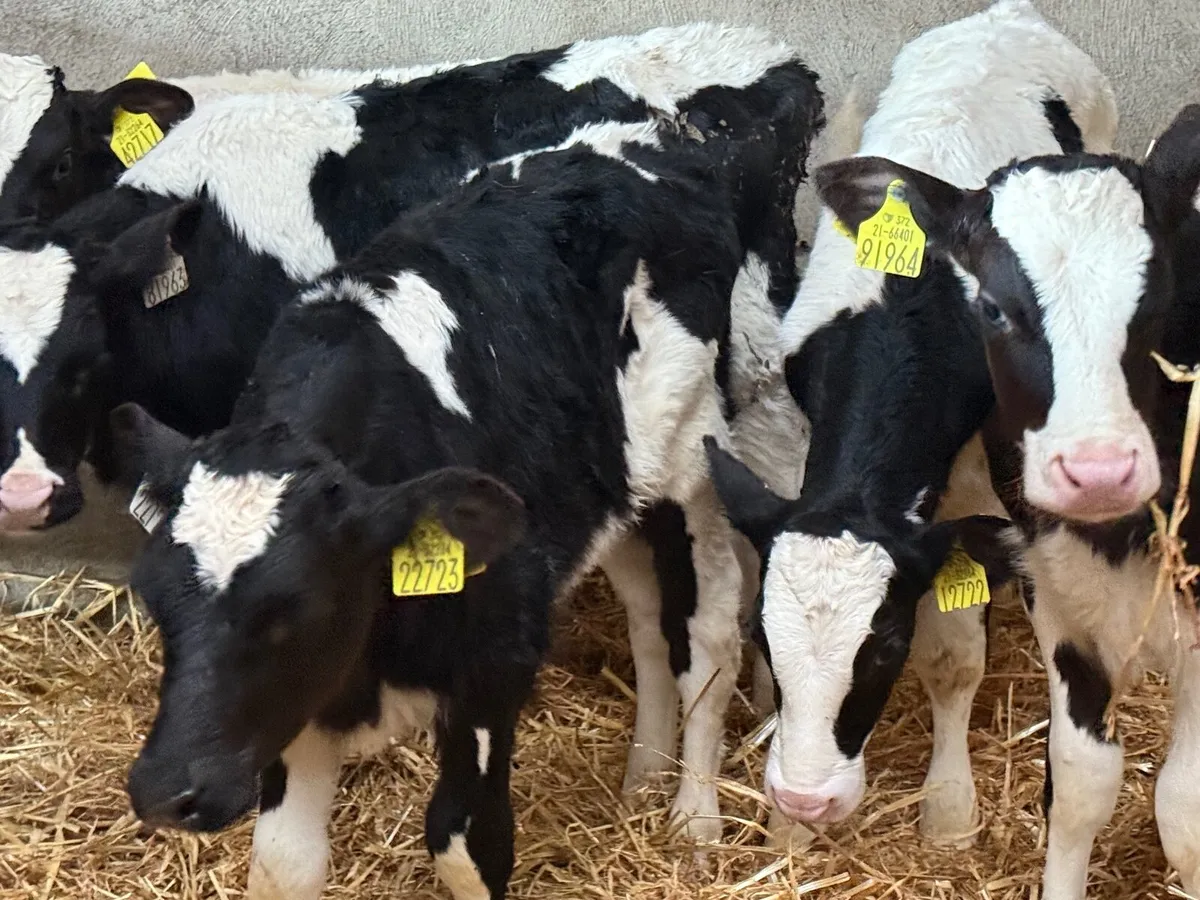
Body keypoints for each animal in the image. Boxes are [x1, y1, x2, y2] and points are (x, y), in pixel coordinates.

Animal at [106, 128, 773, 900]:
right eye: (153, 602)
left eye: (293, 607)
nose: (164, 792)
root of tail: (644, 147)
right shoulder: (299, 705)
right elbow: (283, 863)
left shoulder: (492, 663)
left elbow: (464, 843)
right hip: (608, 494)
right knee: (644, 618)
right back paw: (643, 780)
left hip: (695, 460)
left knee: (706, 632)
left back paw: (694, 820)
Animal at [704, 0, 1118, 851]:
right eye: (762, 635)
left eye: (886, 645)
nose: (806, 799)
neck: (907, 309)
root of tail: (1009, 17)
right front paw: (788, 834)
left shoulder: (971, 482)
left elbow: (955, 654)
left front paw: (950, 809)